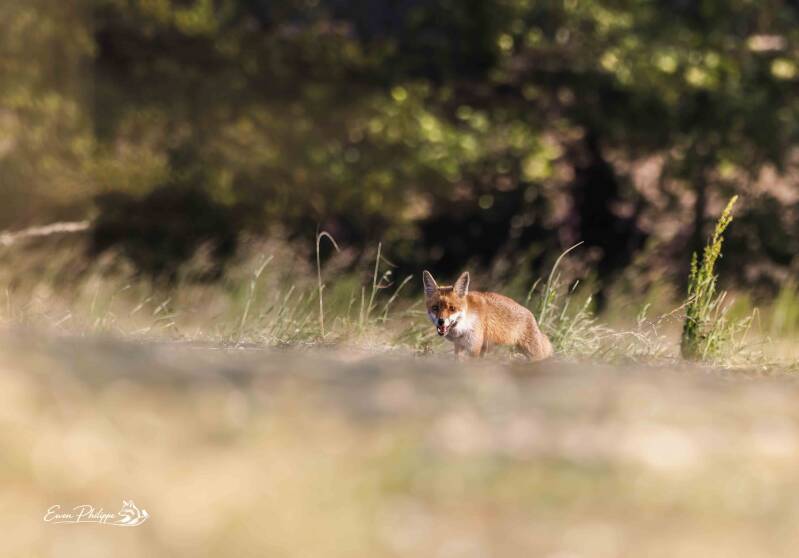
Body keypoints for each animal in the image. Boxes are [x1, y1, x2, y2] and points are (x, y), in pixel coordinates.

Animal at [423, 270, 553, 361]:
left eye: (452, 308)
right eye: (435, 308)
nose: (441, 321)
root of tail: (531, 314)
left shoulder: (473, 349)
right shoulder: (459, 347)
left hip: (533, 354)